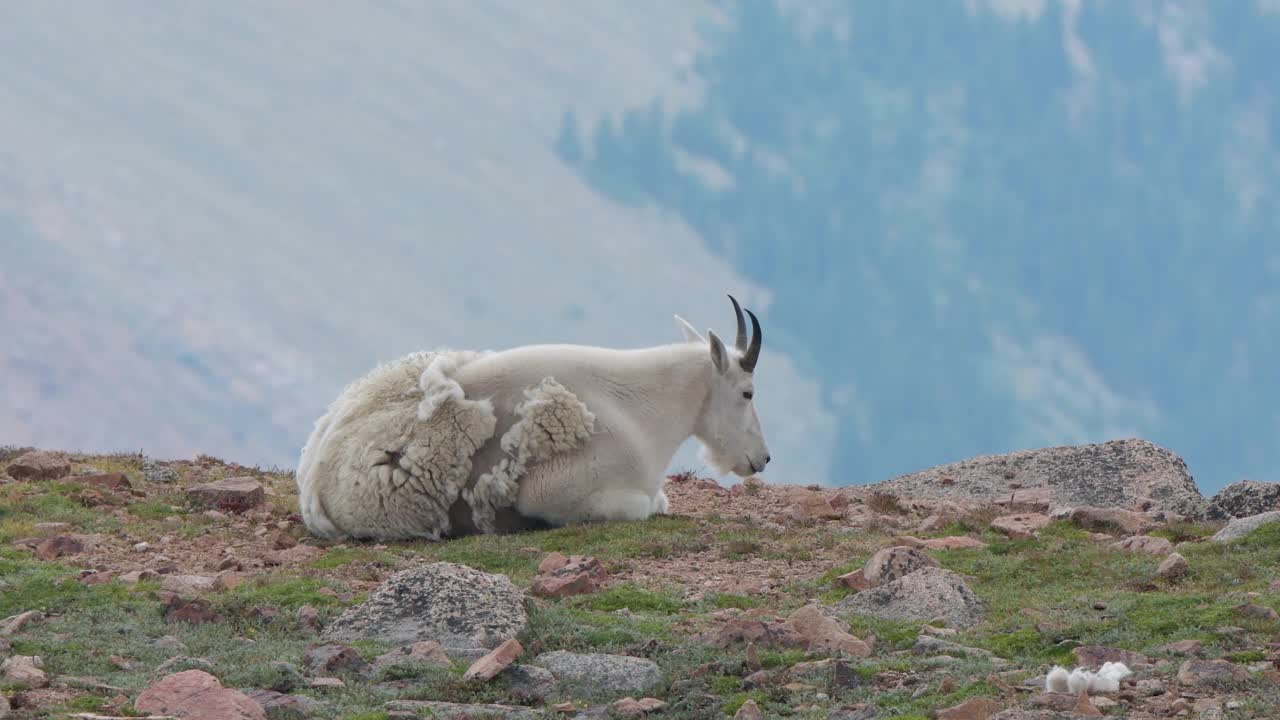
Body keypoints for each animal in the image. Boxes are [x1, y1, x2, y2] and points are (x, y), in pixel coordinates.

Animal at [294, 293, 768, 538]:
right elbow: (646, 505)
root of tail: (311, 483)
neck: (642, 409)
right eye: (747, 392)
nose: (761, 459)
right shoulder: (558, 490)